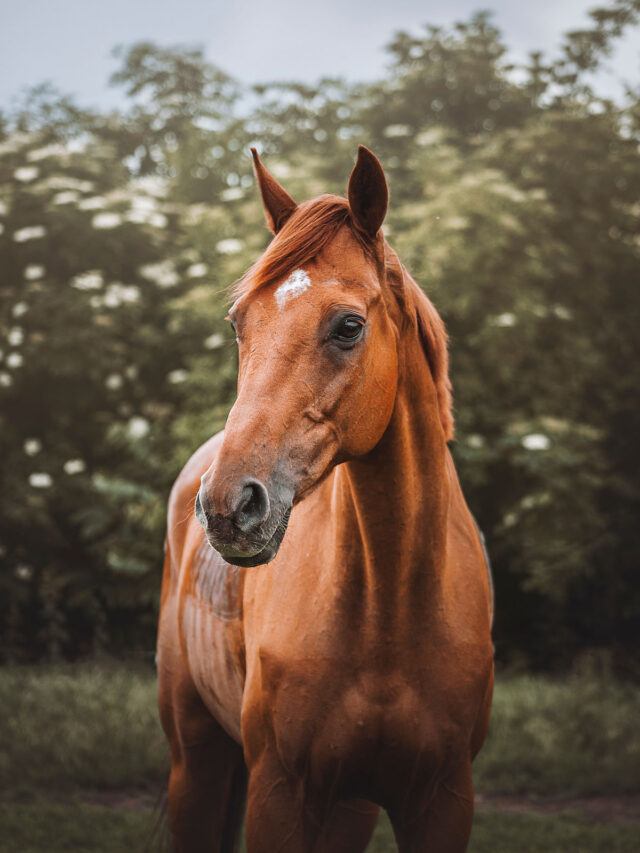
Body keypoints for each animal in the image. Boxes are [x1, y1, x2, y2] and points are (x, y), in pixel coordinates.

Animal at [157, 145, 494, 853]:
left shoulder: (443, 800)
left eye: (348, 326)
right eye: (239, 323)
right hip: (194, 765)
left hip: (347, 807)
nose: (229, 506)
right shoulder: (278, 793)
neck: (389, 612)